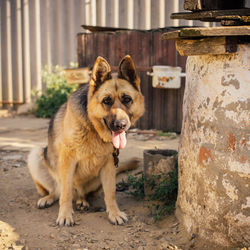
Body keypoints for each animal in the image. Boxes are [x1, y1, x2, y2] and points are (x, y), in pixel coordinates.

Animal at [27, 55, 145, 226]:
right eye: (107, 101)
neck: (93, 128)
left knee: (81, 194)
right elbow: (66, 192)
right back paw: (48, 198)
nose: (120, 125)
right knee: (57, 191)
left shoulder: (109, 164)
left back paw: (82, 200)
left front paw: (114, 213)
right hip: (36, 155)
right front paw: (65, 215)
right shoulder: (68, 160)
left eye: (127, 99)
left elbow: (111, 192)